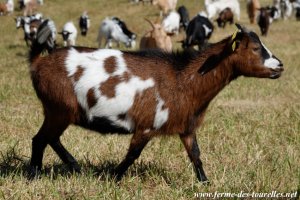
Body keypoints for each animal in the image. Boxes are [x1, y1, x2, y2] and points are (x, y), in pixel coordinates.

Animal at [27, 21, 282, 184]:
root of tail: (39, 63)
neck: (183, 79)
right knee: (40, 139)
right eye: (256, 48)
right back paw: (34, 175)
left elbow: (196, 155)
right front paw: (112, 178)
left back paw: (74, 166)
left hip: (59, 112)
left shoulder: (186, 127)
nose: (280, 66)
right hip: (58, 109)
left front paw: (205, 183)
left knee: (51, 139)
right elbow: (132, 154)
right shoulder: (147, 125)